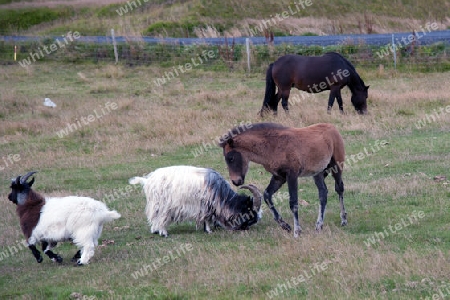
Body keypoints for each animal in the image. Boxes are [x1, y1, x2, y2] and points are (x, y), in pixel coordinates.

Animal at [219, 122, 348, 237]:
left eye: (231, 158)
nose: (236, 181)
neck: (273, 145)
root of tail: (333, 127)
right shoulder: (279, 177)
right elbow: (267, 195)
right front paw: (285, 226)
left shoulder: (292, 175)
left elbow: (293, 202)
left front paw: (297, 232)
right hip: (318, 173)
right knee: (323, 193)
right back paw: (319, 225)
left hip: (337, 166)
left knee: (339, 188)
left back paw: (343, 220)